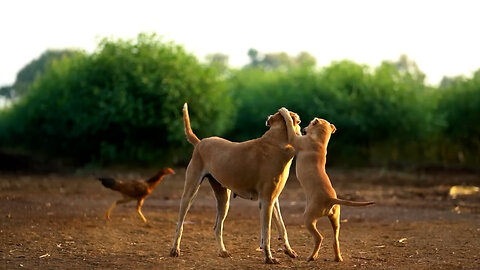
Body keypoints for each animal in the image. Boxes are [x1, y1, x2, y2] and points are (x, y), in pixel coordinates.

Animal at [171, 103, 302, 264]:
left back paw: (222, 251)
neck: (276, 141)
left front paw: (289, 251)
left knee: (217, 226)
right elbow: (267, 233)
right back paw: (175, 249)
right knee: (180, 223)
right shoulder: (266, 201)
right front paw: (269, 257)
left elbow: (282, 228)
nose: (303, 129)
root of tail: (200, 142)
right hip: (190, 193)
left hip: (224, 199)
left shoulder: (274, 200)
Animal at [278, 107, 376, 262]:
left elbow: (289, 125)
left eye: (309, 124)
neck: (320, 141)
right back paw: (337, 257)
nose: (304, 128)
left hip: (308, 218)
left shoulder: (295, 139)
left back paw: (312, 256)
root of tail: (331, 199)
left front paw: (285, 112)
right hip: (335, 220)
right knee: (335, 240)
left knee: (319, 237)